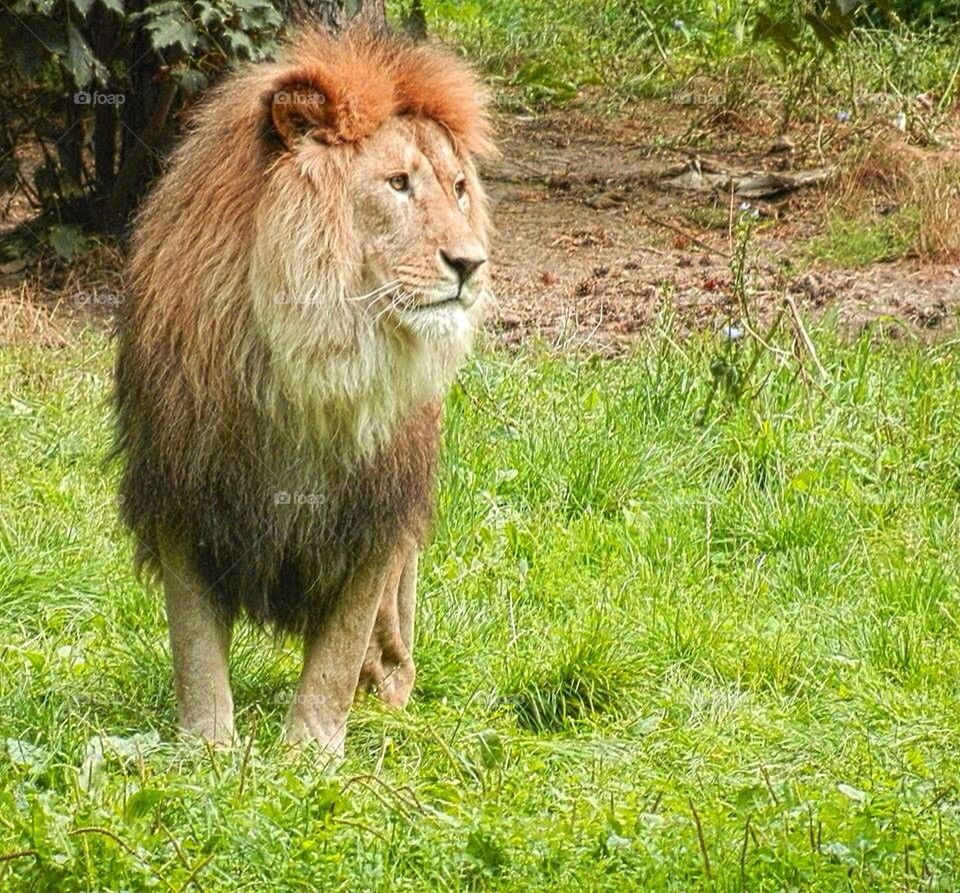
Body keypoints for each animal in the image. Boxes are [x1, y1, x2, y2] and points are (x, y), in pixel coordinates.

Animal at [112, 25, 494, 754]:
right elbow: (195, 642)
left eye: (459, 188)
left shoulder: (376, 508)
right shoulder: (182, 487)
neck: (315, 362)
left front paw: (309, 752)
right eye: (398, 184)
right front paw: (208, 747)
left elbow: (339, 649)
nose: (470, 264)